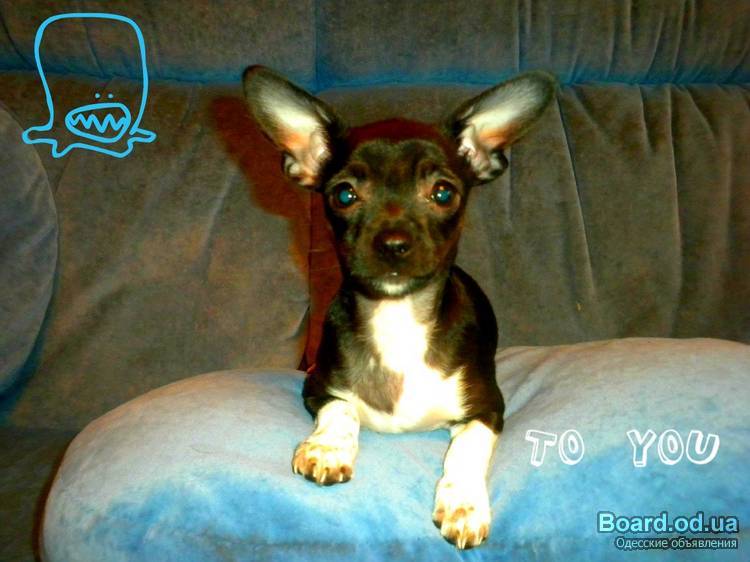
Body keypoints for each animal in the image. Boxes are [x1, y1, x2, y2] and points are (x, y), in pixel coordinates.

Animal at [243, 66, 555, 549]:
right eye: (344, 195)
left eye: (443, 193)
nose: (392, 243)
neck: (398, 318)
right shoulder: (317, 386)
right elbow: (342, 409)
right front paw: (328, 447)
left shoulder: (489, 409)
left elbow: (467, 447)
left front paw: (463, 503)